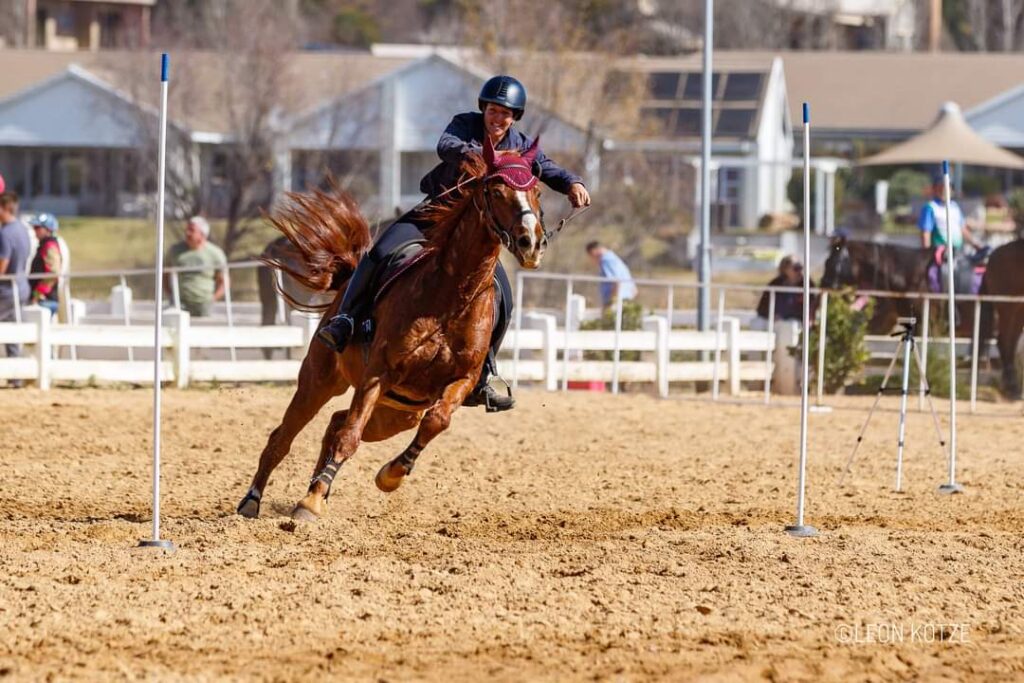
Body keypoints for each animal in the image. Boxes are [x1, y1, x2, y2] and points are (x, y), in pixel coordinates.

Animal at [236, 139, 548, 524]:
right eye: (495, 190)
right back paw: (254, 500)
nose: (530, 243)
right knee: (287, 436)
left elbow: (436, 421)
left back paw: (319, 488)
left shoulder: (461, 380)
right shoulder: (378, 374)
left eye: (536, 191)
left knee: (337, 422)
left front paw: (391, 475)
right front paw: (310, 504)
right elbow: (349, 438)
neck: (453, 292)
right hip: (320, 380)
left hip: (397, 413)